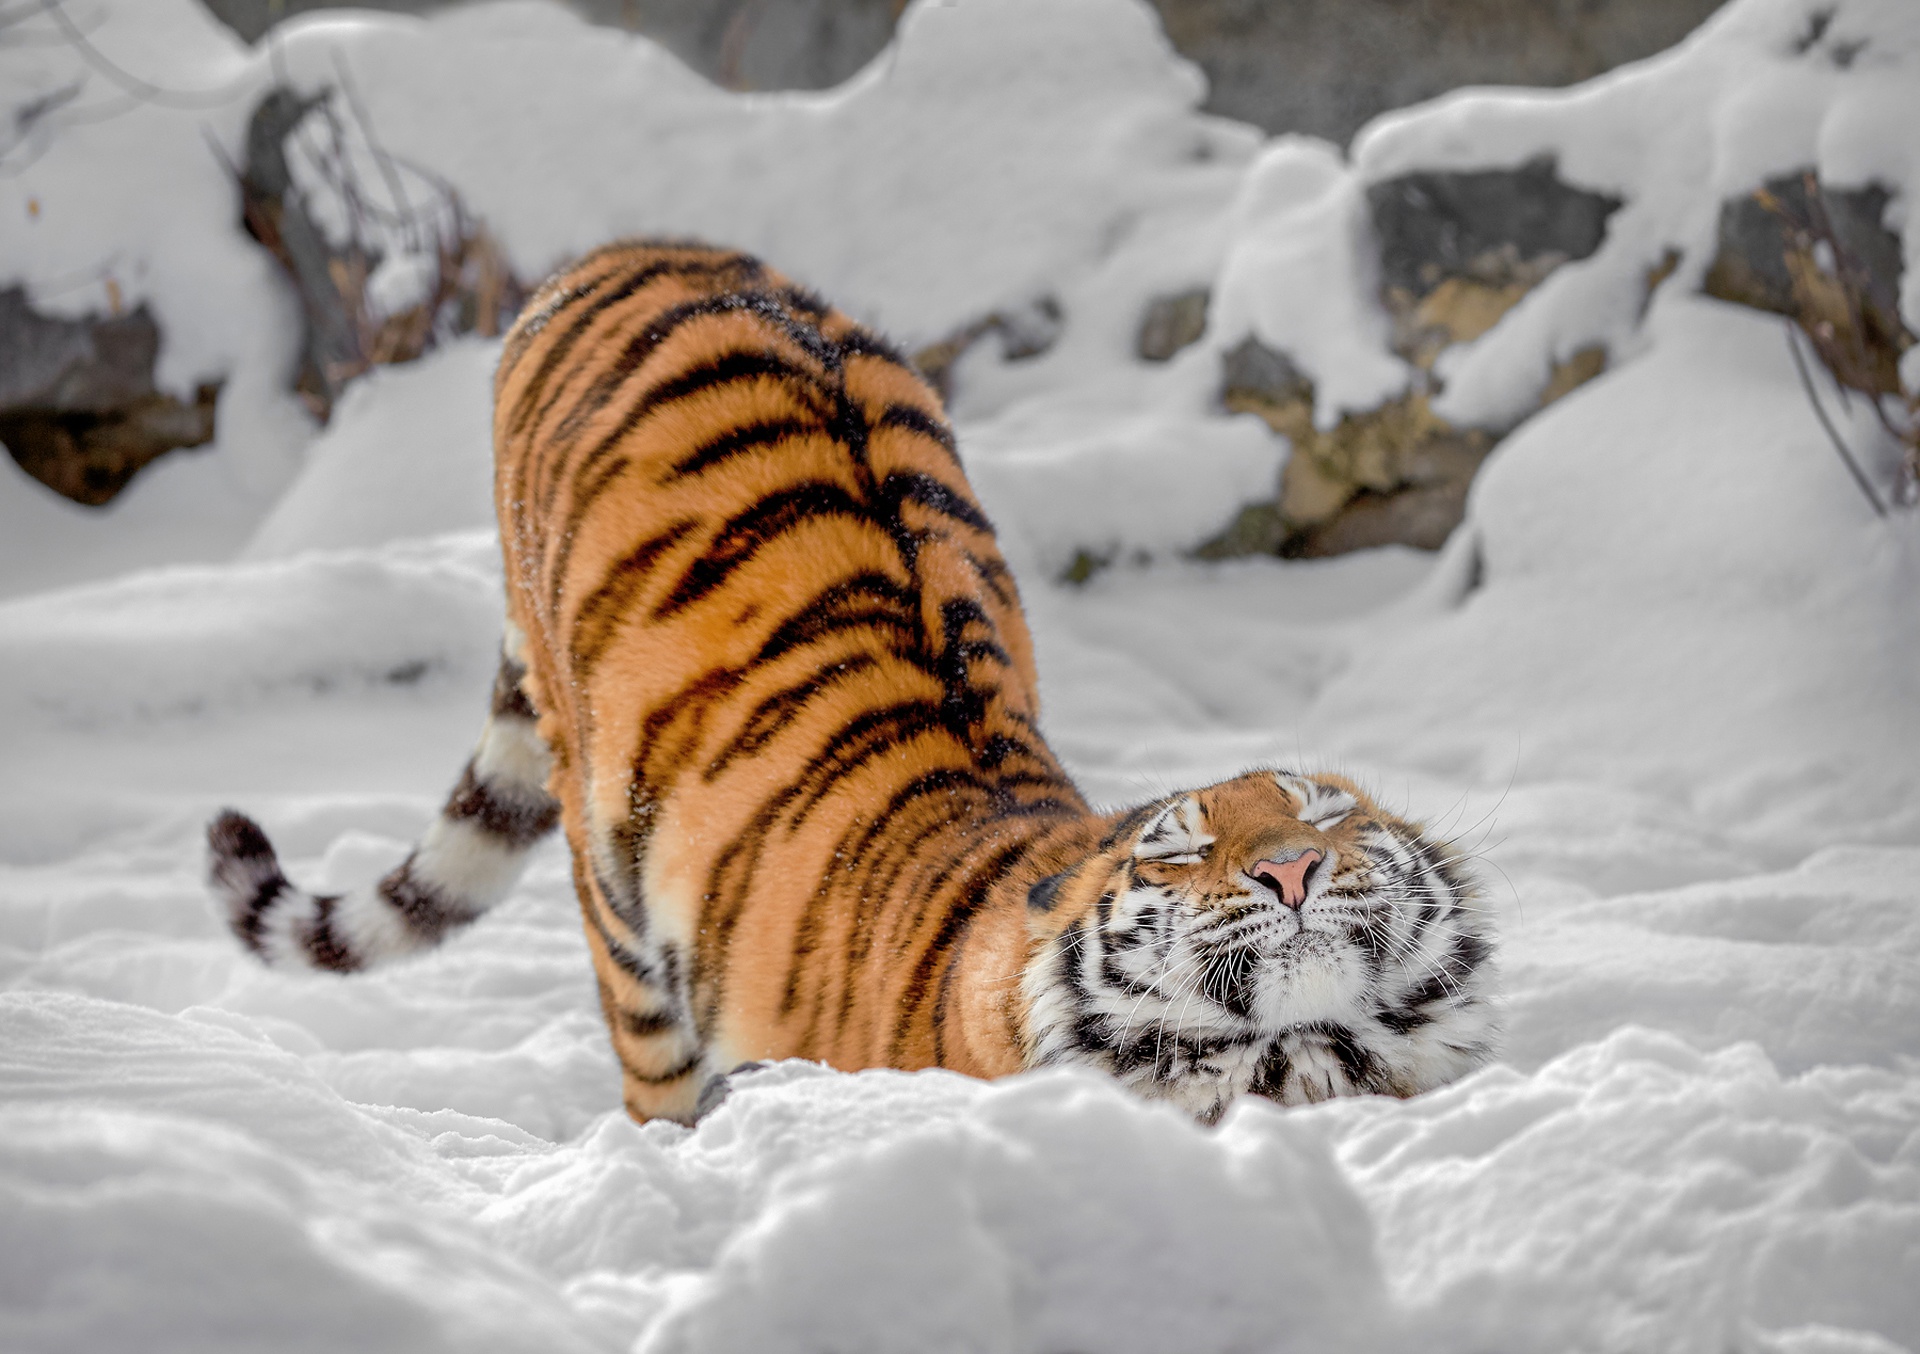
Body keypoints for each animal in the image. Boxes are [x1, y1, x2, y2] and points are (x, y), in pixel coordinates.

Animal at [210, 240, 1497, 1121]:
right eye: (1179, 849)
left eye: (1326, 815)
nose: (1291, 869)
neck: (1296, 1059)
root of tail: (630, 248)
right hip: (614, 882)